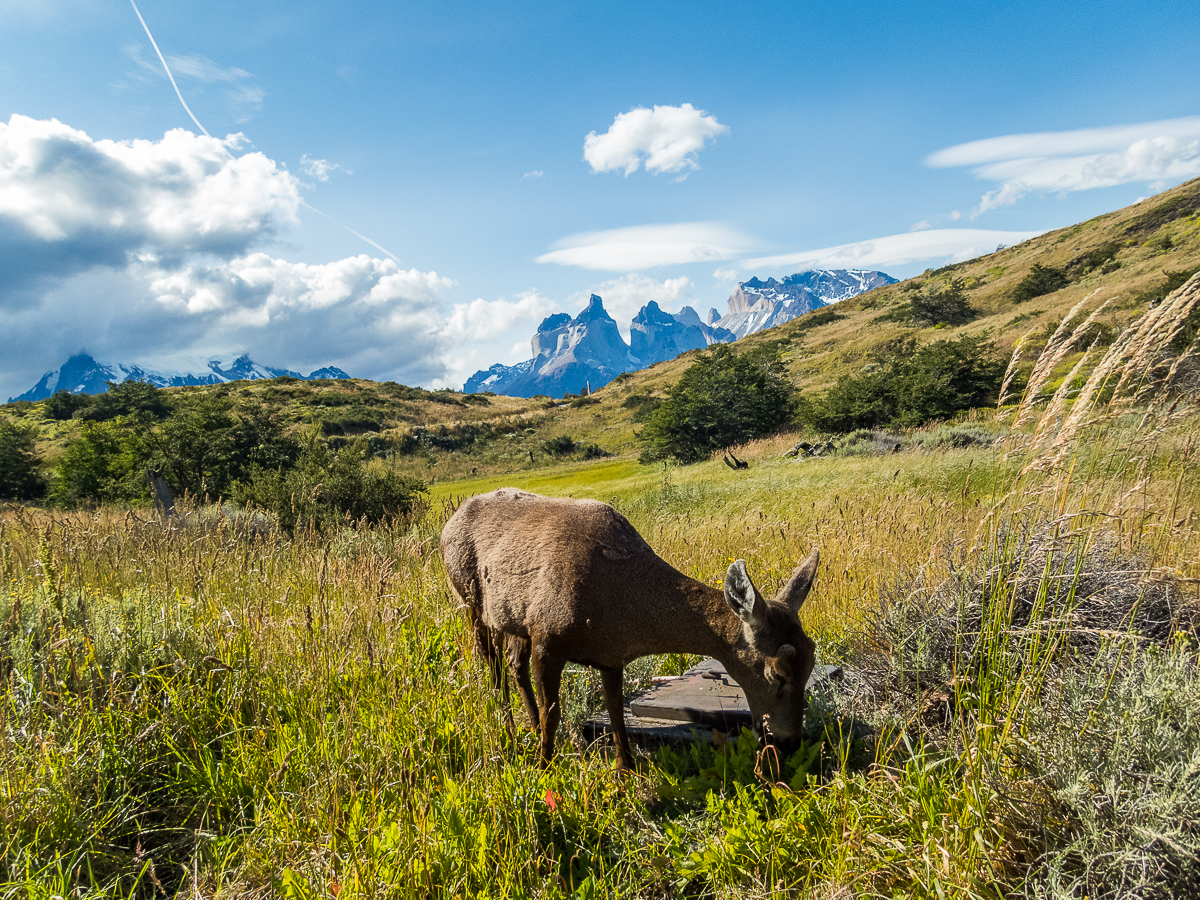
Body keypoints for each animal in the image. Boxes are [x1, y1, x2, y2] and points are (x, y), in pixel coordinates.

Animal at [436, 489, 820, 772]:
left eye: (812, 660)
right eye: (777, 674)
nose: (789, 741)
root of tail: (448, 523)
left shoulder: (610, 656)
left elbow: (617, 712)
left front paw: (626, 769)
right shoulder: (548, 637)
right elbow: (554, 712)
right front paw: (544, 769)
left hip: (515, 618)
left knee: (514, 664)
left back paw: (527, 725)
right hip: (469, 601)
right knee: (493, 663)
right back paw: (511, 728)